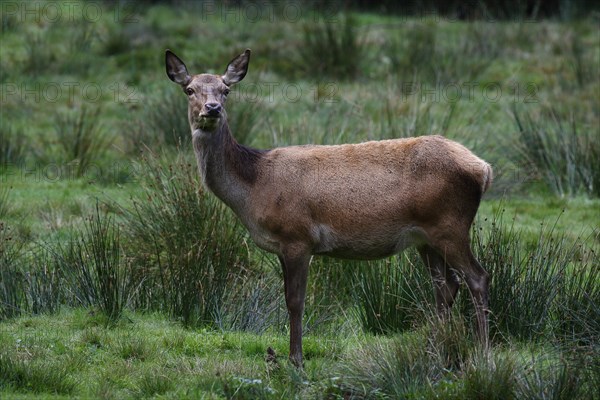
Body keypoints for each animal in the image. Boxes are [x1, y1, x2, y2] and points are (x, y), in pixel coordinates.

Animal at [164, 48, 492, 368]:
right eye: (190, 89)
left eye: (226, 90)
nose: (212, 108)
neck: (254, 188)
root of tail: (484, 169)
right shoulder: (282, 245)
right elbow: (289, 297)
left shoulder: (298, 236)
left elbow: (295, 301)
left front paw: (296, 360)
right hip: (426, 237)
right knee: (445, 285)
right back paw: (437, 350)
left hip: (450, 226)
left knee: (477, 277)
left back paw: (481, 352)